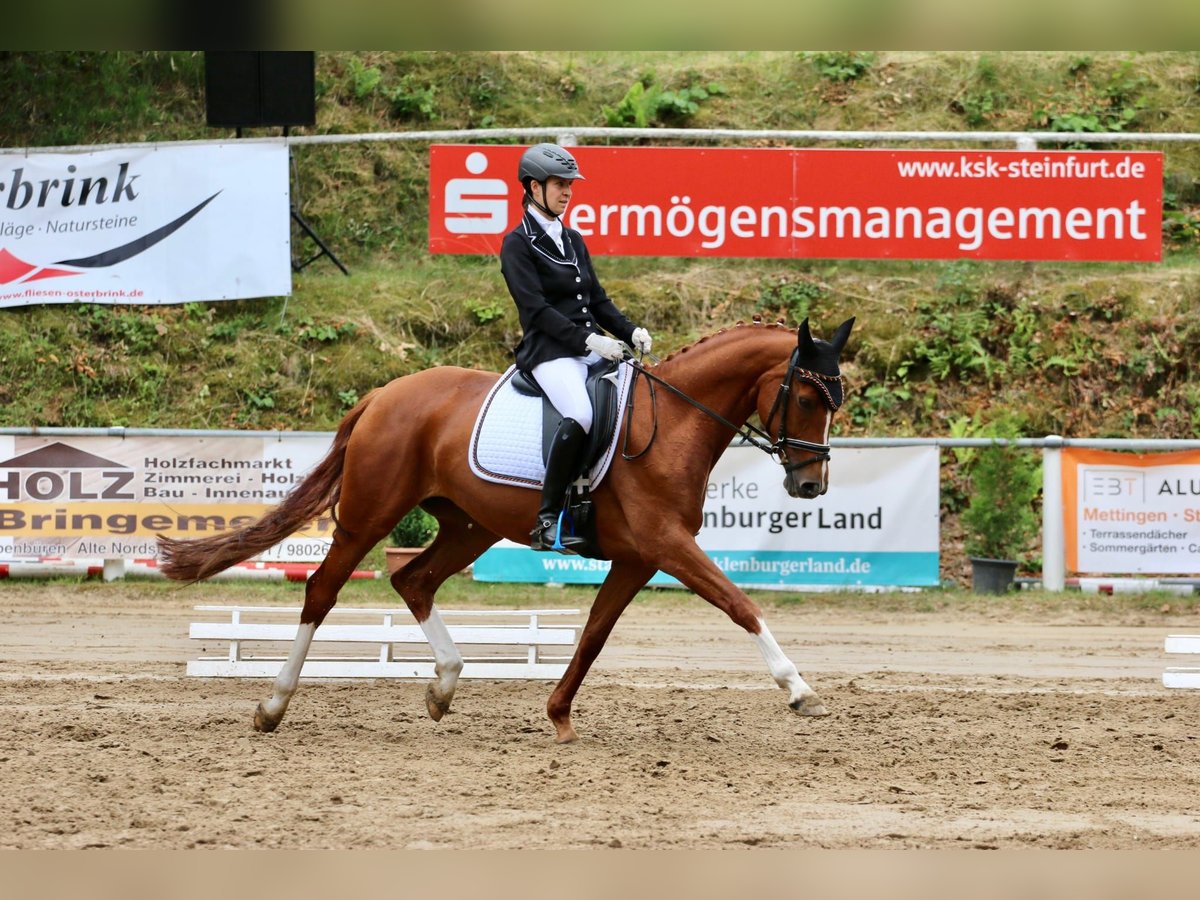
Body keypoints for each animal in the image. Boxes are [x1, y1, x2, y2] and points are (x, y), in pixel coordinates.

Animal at [159, 316, 854, 748]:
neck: (674, 422)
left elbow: (593, 636)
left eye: (835, 402)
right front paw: (800, 690)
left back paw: (443, 685)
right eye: (806, 399)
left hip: (470, 526)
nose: (811, 487)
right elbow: (740, 604)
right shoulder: (667, 546)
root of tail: (383, 394)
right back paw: (273, 706)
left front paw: (559, 717)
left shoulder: (638, 559)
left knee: (414, 579)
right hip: (369, 516)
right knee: (322, 591)